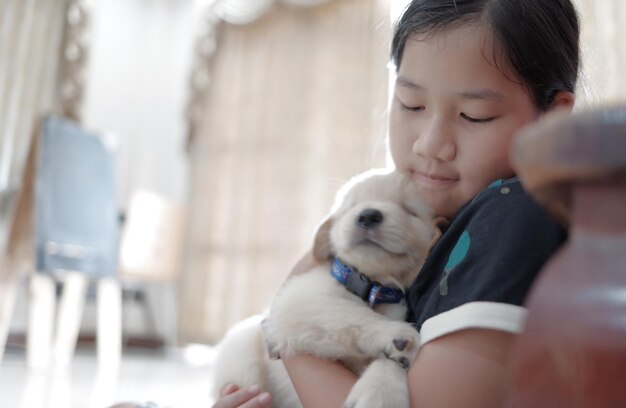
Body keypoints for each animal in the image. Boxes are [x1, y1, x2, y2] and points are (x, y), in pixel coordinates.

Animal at [212, 167, 432, 406]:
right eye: (351, 207)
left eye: (410, 210)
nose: (367, 215)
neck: (373, 287)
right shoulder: (299, 300)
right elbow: (351, 314)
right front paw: (394, 333)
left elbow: (391, 362)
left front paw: (382, 390)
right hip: (242, 354)